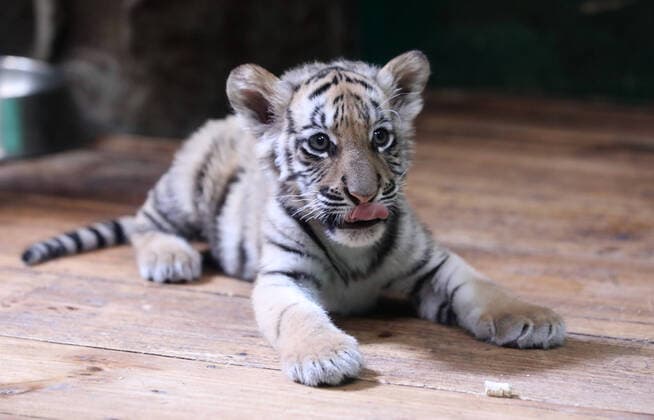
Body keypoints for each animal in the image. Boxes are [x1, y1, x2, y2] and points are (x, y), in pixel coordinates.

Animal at [21, 51, 566, 386]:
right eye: (320, 143)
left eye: (382, 137)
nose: (365, 195)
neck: (355, 251)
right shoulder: (283, 276)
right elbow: (298, 316)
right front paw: (325, 357)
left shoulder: (431, 263)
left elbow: (481, 284)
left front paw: (532, 318)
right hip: (185, 187)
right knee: (144, 220)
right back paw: (170, 259)